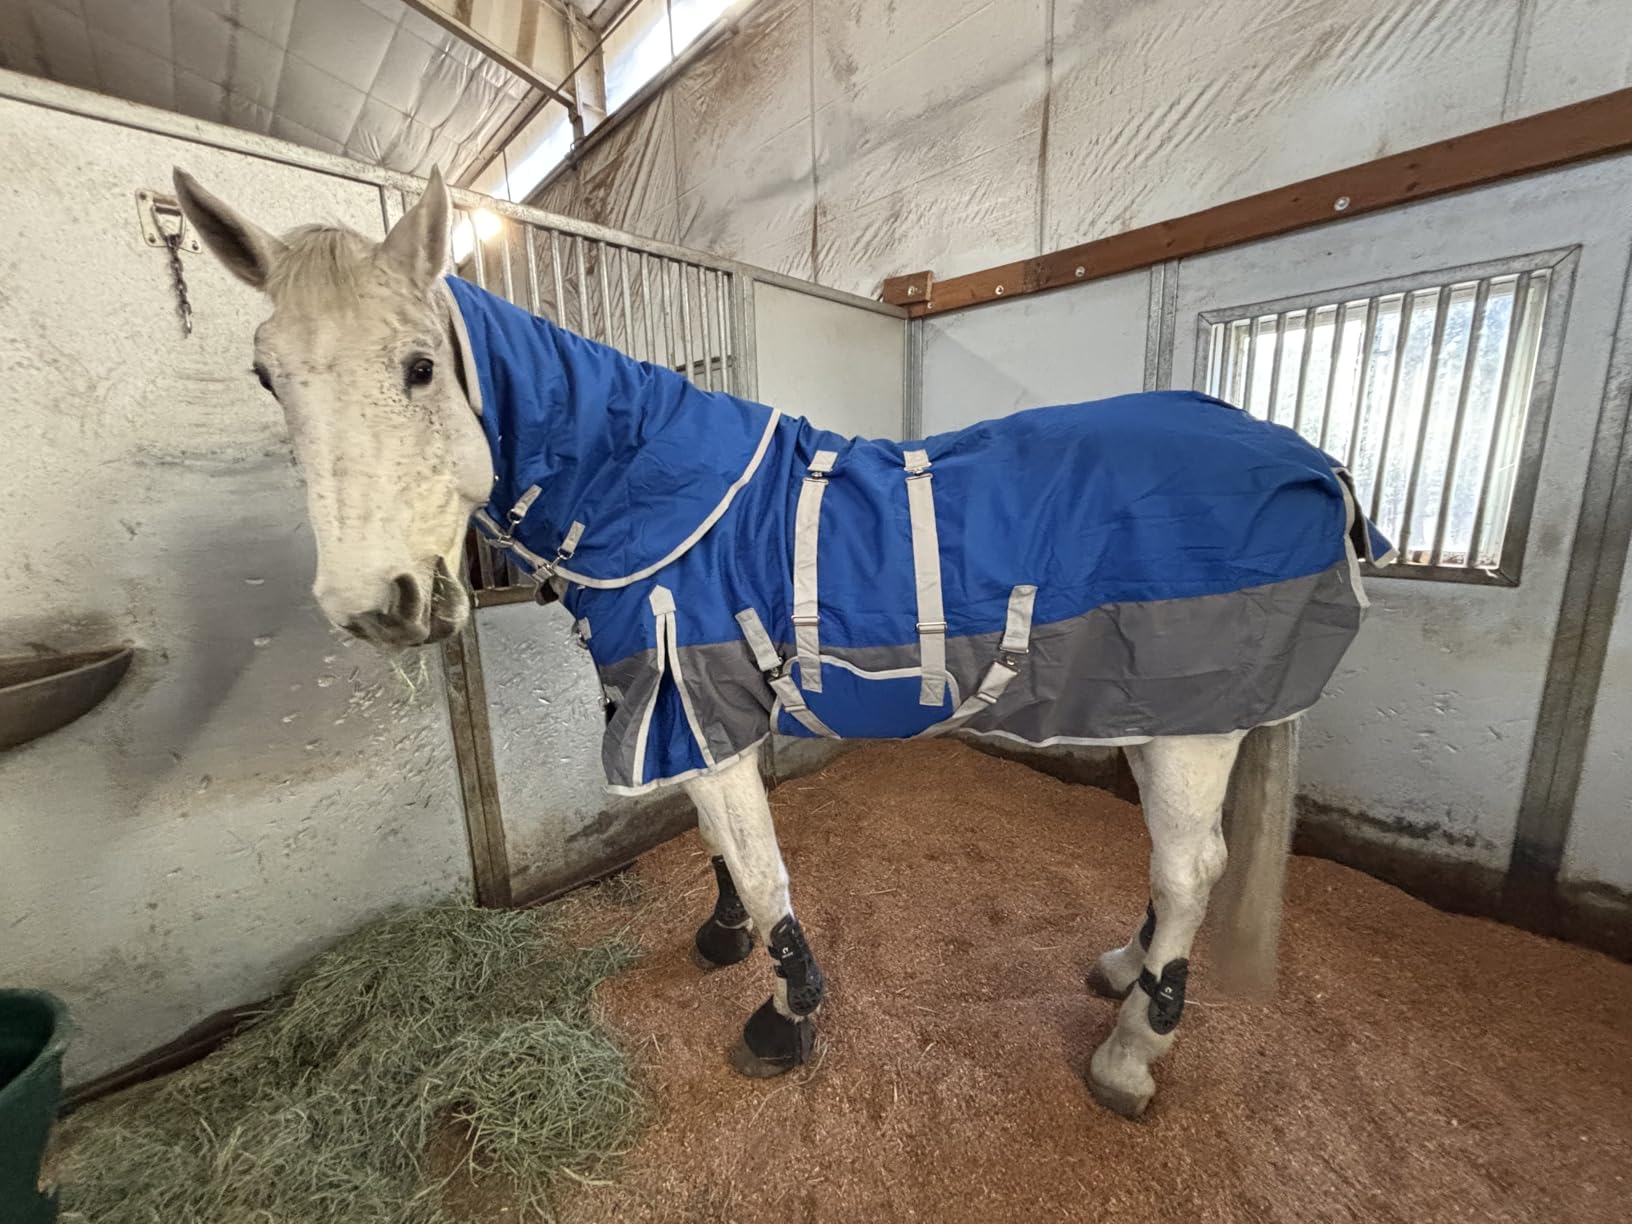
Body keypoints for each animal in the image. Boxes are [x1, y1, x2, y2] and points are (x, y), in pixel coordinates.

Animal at [172, 166, 1391, 1119]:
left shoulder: (688, 701)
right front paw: (722, 939)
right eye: (267, 375)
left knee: (1189, 869)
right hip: (1171, 712)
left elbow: (762, 871)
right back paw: (1126, 972)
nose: (380, 605)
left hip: (1195, 721)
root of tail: (1306, 457)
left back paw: (1134, 1052)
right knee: (1179, 870)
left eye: (420, 366)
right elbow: (725, 844)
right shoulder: (696, 700)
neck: (646, 490)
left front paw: (785, 1014)